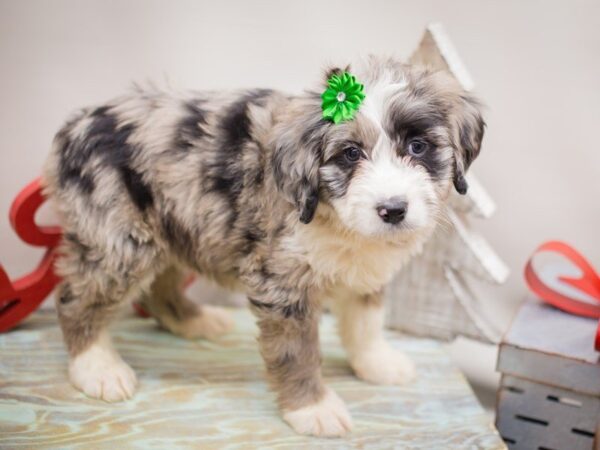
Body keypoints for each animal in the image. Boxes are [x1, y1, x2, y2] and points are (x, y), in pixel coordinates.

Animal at [42, 55, 486, 436]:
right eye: (350, 154)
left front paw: (376, 363)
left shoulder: (364, 272)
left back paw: (195, 321)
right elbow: (297, 350)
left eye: (417, 146)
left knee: (159, 288)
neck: (331, 216)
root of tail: (75, 125)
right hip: (119, 239)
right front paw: (312, 408)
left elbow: (365, 321)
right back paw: (97, 368)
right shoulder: (282, 284)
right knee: (75, 300)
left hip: (176, 226)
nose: (393, 210)